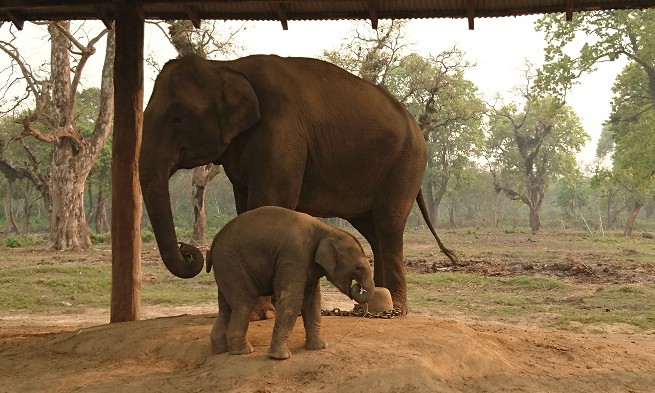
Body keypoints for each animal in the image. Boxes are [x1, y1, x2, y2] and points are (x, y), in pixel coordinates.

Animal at [140, 54, 456, 312]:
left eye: (178, 118)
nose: (188, 250)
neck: (226, 66)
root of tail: (417, 126)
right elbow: (245, 207)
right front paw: (259, 310)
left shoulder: (283, 135)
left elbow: (268, 202)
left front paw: (262, 310)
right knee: (374, 229)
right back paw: (371, 307)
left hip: (406, 163)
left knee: (388, 225)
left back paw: (395, 309)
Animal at [208, 205, 376, 358]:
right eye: (359, 268)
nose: (358, 287)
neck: (328, 230)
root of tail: (215, 240)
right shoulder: (295, 256)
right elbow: (292, 299)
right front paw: (280, 357)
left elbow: (312, 301)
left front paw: (319, 347)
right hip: (231, 263)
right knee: (244, 303)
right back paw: (243, 351)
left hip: (225, 268)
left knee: (226, 306)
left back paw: (220, 349)